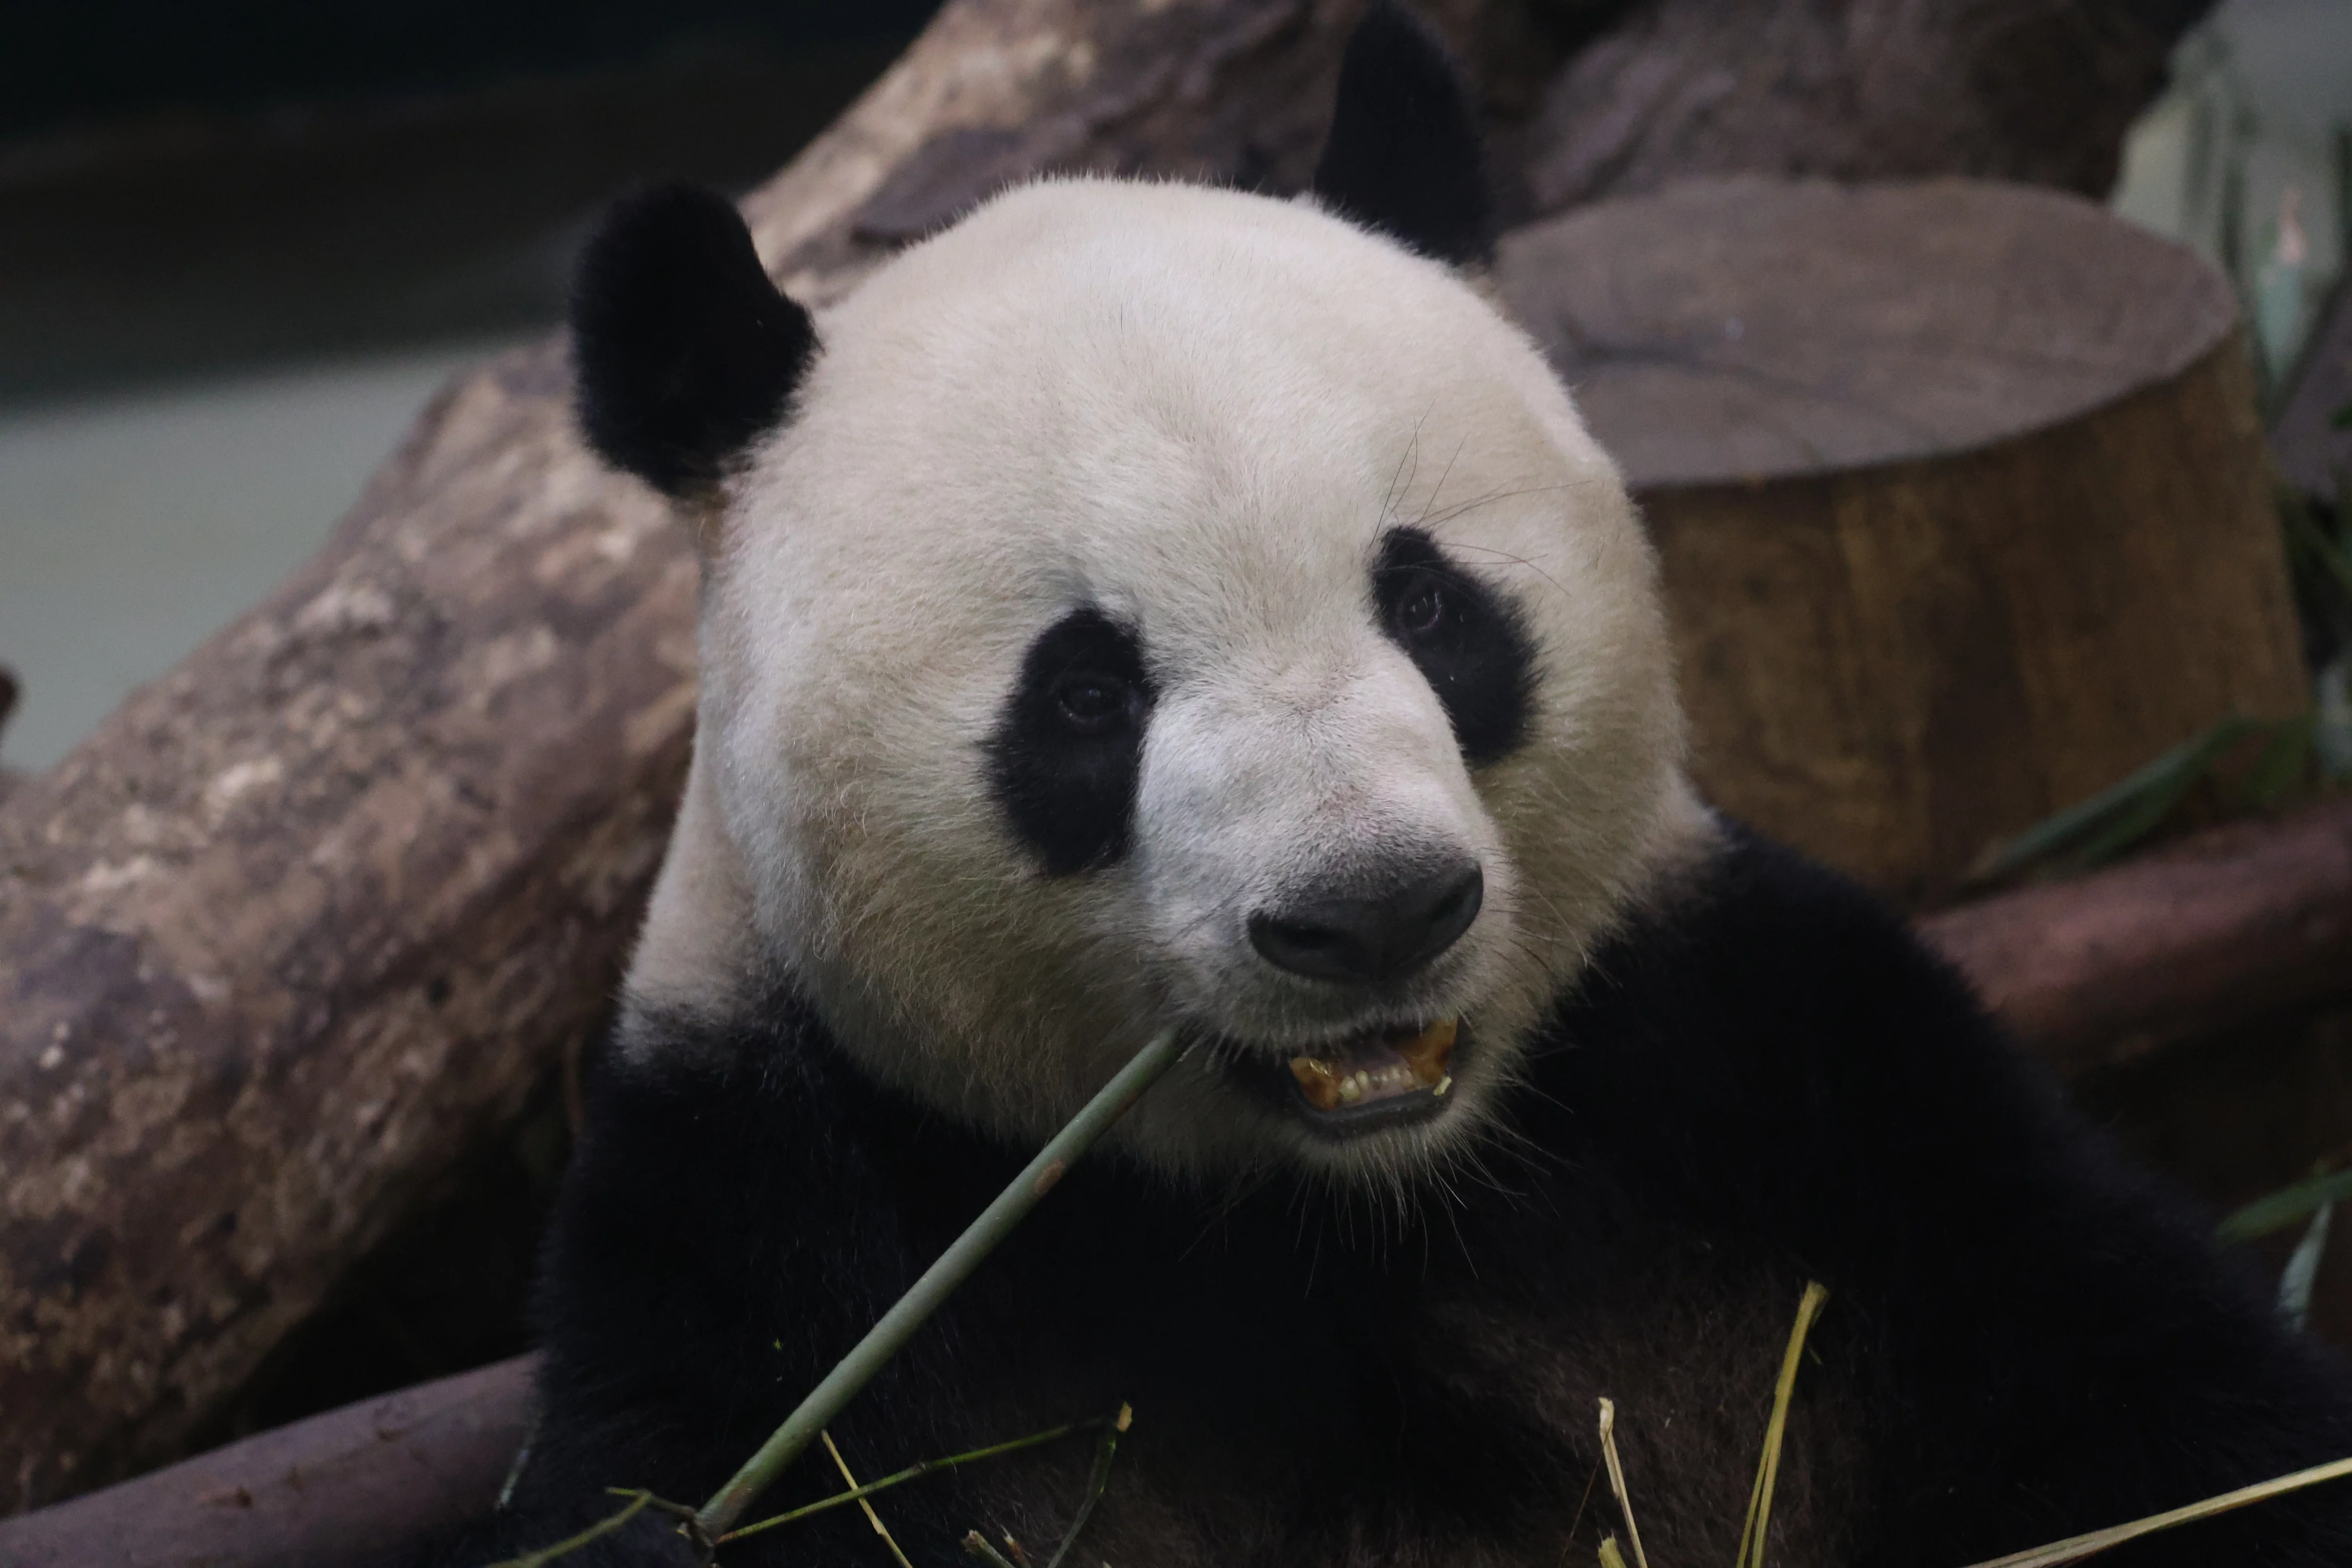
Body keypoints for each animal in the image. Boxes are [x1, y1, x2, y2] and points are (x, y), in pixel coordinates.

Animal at [424, 7, 2352, 1566]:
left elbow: (2180, 1415)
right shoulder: (775, 1220)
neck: (1353, 1208)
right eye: (1085, 692)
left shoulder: (1785, 1090)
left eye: (1424, 601)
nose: (1370, 911)